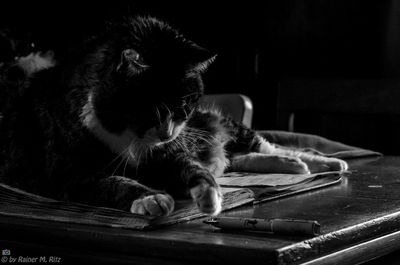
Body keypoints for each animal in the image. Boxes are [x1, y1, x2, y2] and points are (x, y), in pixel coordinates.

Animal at [0, 16, 346, 216]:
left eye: (185, 107)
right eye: (150, 110)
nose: (167, 134)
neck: (125, 136)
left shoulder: (171, 152)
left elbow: (192, 167)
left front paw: (209, 196)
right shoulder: (65, 174)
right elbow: (110, 183)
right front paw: (151, 198)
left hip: (224, 126)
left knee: (264, 146)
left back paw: (321, 162)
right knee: (238, 158)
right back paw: (296, 165)